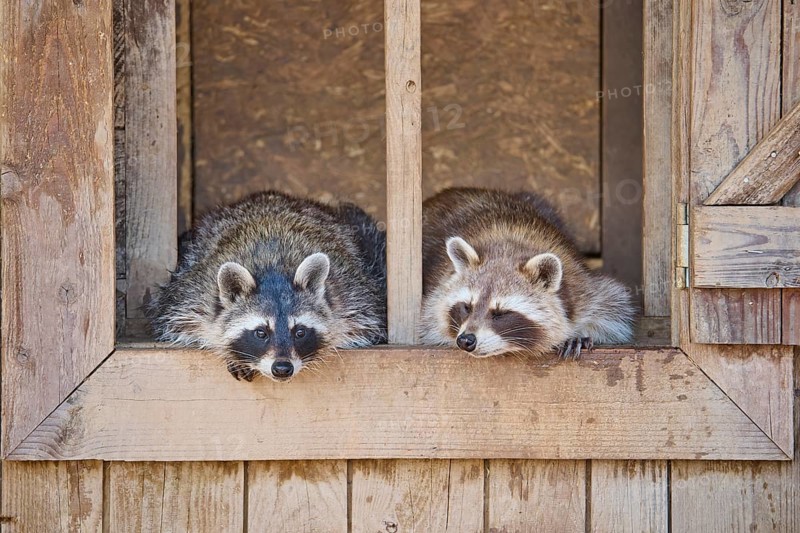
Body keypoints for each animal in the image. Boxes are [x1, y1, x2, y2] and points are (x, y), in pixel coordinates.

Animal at [148, 191, 387, 382]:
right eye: (261, 333)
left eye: (300, 332)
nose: (282, 368)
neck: (274, 267)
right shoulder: (191, 293)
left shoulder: (353, 294)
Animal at [421, 188, 634, 358]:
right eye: (466, 306)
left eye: (501, 313)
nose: (466, 340)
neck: (507, 247)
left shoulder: (583, 286)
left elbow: (613, 309)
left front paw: (579, 334)